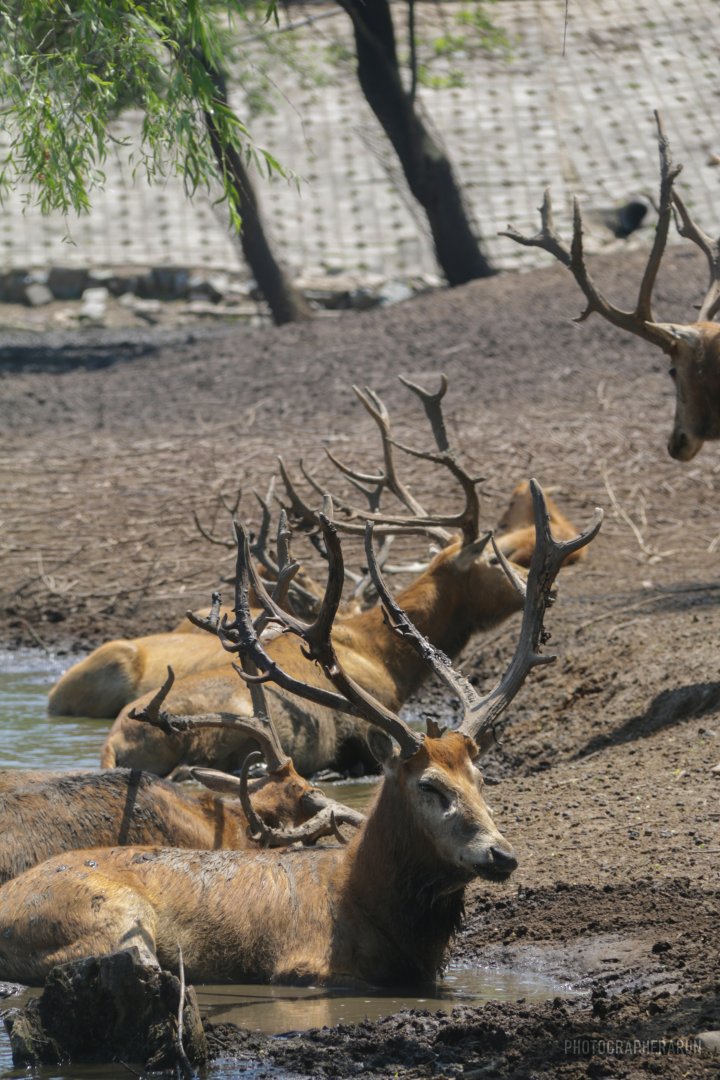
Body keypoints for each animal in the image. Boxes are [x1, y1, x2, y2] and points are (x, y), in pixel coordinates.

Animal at [99, 376, 589, 778]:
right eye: (492, 558)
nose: (547, 590)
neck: (388, 658)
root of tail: (113, 743)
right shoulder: (369, 722)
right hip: (224, 729)